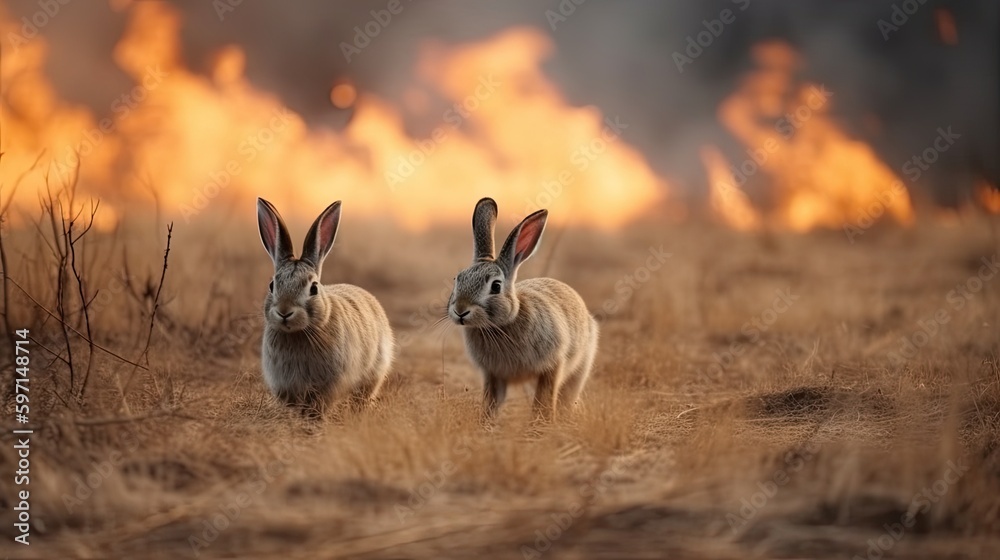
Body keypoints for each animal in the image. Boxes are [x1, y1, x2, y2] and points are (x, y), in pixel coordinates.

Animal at [256, 197, 394, 417]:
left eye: (313, 288)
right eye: (272, 286)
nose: (284, 312)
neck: (301, 332)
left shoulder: (330, 383)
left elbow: (320, 401)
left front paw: (314, 417)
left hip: (375, 370)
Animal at [447, 197, 599, 422]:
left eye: (496, 286)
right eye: (458, 279)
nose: (460, 310)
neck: (500, 326)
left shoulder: (553, 365)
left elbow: (543, 399)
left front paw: (541, 425)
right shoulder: (493, 375)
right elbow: (491, 402)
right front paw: (484, 424)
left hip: (581, 365)